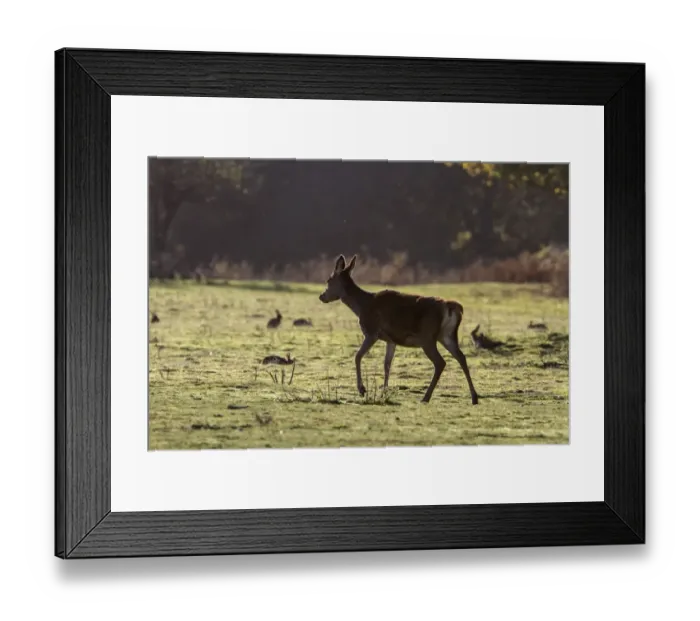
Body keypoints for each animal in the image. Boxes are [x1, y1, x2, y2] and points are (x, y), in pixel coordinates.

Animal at [318, 254, 479, 405]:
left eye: (328, 280)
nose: (322, 296)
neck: (362, 307)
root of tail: (452, 307)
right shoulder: (391, 340)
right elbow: (386, 364)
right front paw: (384, 392)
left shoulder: (372, 331)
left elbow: (357, 356)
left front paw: (362, 389)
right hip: (447, 335)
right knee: (461, 357)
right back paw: (474, 397)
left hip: (427, 337)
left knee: (440, 362)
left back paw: (426, 397)